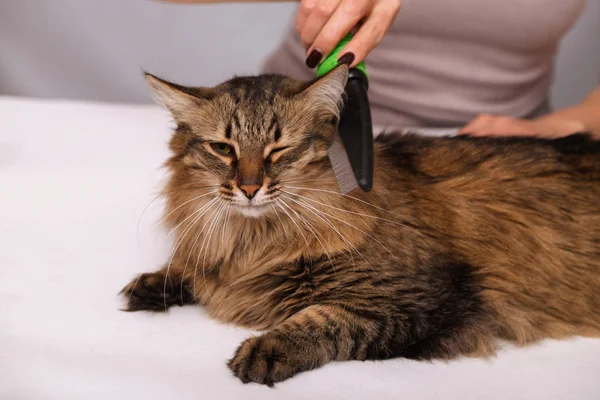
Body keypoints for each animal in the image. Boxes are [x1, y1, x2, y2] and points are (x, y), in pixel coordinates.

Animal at [120, 65, 600, 388]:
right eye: (223, 148)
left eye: (280, 149)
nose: (249, 188)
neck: (255, 242)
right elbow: (192, 269)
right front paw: (158, 282)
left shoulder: (424, 299)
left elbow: (327, 319)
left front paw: (267, 349)